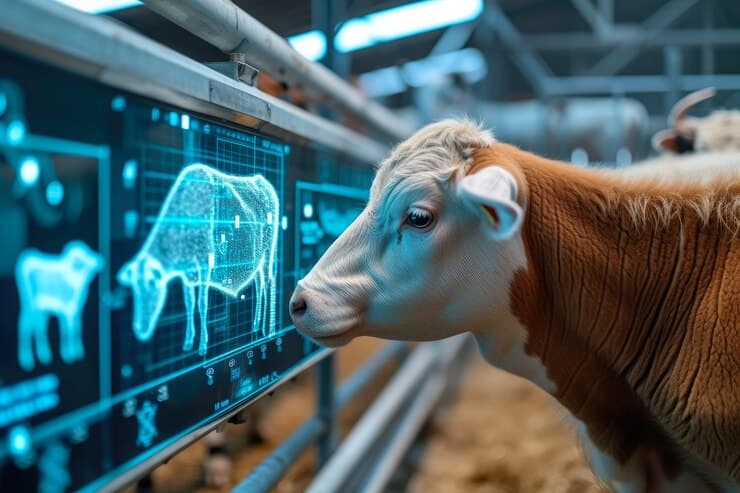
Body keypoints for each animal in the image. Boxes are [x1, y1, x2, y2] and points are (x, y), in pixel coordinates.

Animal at [16, 240, 103, 371]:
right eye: (80, 260)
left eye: (88, 251)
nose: (99, 260)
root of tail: (29, 257)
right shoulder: (67, 310)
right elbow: (68, 329)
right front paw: (69, 355)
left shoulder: (75, 310)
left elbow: (77, 327)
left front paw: (76, 352)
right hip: (29, 304)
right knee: (25, 324)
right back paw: (27, 360)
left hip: (41, 308)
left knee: (39, 324)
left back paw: (44, 355)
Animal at [117, 163, 279, 356]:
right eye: (134, 287)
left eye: (151, 282)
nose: (140, 328)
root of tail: (263, 183)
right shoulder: (186, 274)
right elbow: (189, 304)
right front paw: (188, 342)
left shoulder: (204, 266)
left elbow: (202, 304)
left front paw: (202, 345)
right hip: (258, 259)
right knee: (259, 284)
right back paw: (256, 325)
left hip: (269, 252)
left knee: (268, 283)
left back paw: (268, 329)